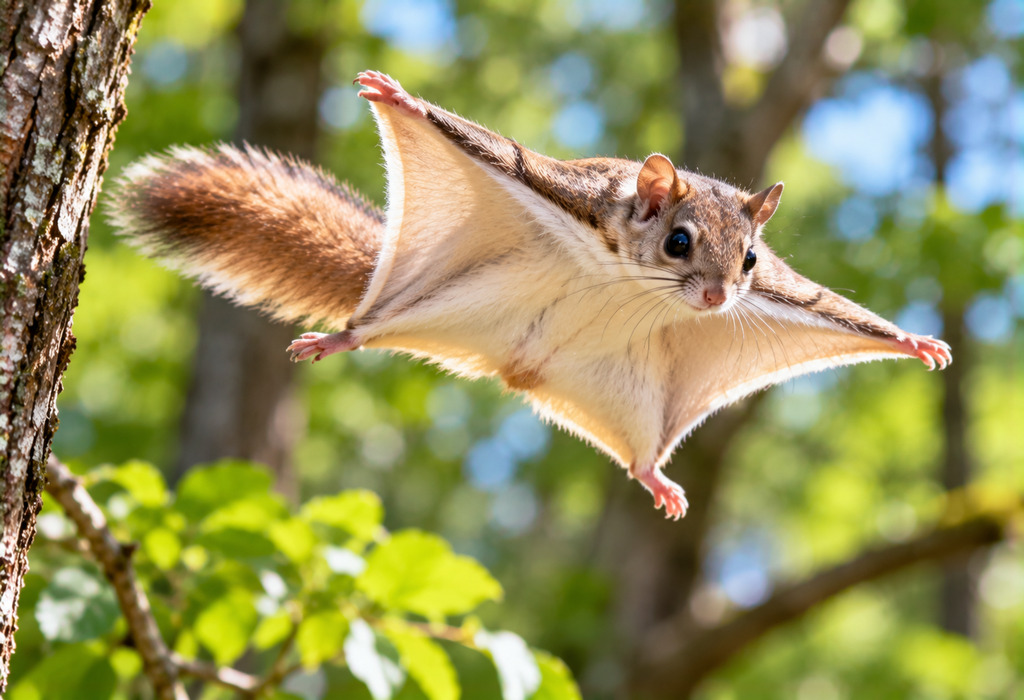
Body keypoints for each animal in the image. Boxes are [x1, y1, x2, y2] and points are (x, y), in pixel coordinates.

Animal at [109, 70, 951, 519]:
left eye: (750, 259)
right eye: (678, 241)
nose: (716, 299)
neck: (631, 281)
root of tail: (513, 368)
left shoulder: (780, 288)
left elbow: (829, 304)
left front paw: (915, 341)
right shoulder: (557, 185)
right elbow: (498, 147)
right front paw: (403, 100)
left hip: (629, 395)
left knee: (639, 455)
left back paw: (656, 477)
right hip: (440, 301)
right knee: (366, 328)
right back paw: (337, 335)